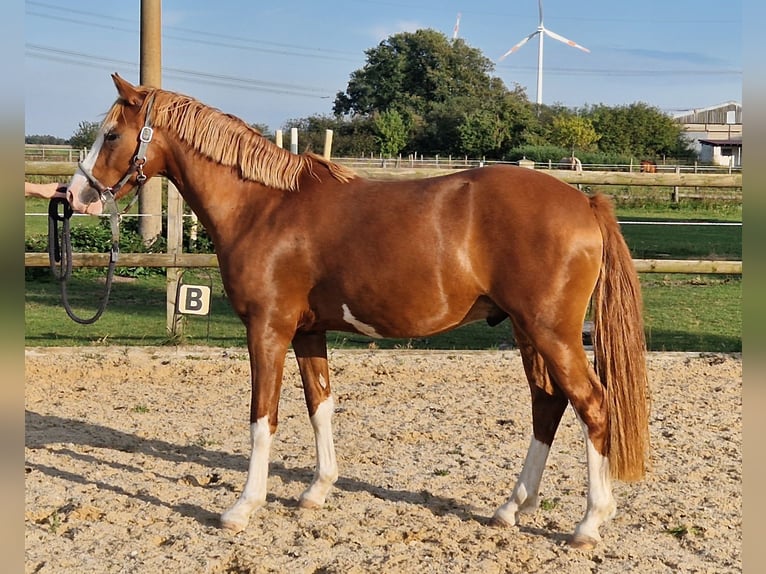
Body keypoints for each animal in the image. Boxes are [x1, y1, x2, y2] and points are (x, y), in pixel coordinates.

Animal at [66, 74, 652, 552]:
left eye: (111, 134)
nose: (74, 196)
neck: (265, 207)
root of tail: (585, 203)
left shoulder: (267, 329)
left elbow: (263, 417)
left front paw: (242, 508)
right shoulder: (307, 333)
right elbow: (320, 405)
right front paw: (316, 491)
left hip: (551, 332)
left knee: (593, 406)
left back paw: (588, 523)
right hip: (528, 332)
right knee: (548, 405)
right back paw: (512, 508)